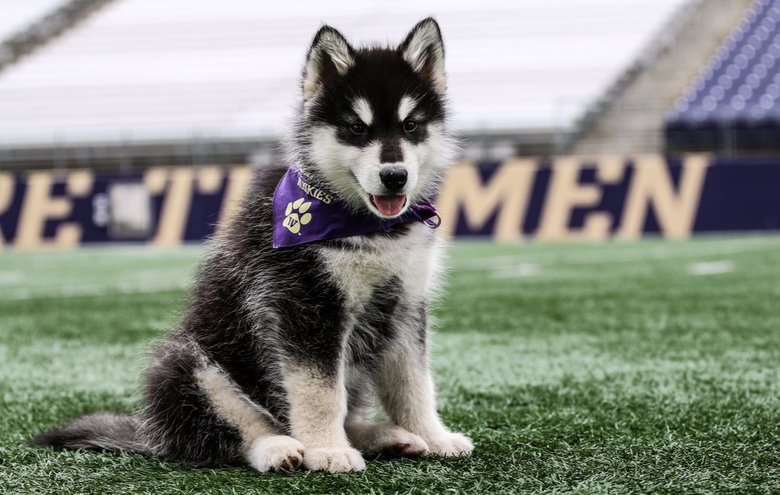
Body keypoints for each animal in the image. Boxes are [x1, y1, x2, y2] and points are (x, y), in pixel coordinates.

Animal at [33, 18, 472, 472]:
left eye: (410, 125)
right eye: (356, 128)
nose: (395, 176)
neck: (362, 223)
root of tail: (151, 434)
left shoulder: (404, 304)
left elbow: (413, 384)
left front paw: (432, 436)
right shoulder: (306, 305)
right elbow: (320, 392)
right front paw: (326, 449)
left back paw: (387, 437)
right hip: (182, 362)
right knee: (232, 434)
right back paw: (280, 448)